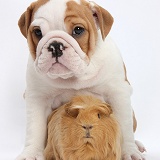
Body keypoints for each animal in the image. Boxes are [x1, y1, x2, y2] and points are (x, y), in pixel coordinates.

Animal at [16, 0, 145, 160]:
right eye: (38, 32)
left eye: (78, 30)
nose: (55, 46)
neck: (74, 76)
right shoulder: (37, 98)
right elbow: (35, 128)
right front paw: (31, 153)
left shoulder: (118, 94)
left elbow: (124, 127)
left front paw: (130, 152)